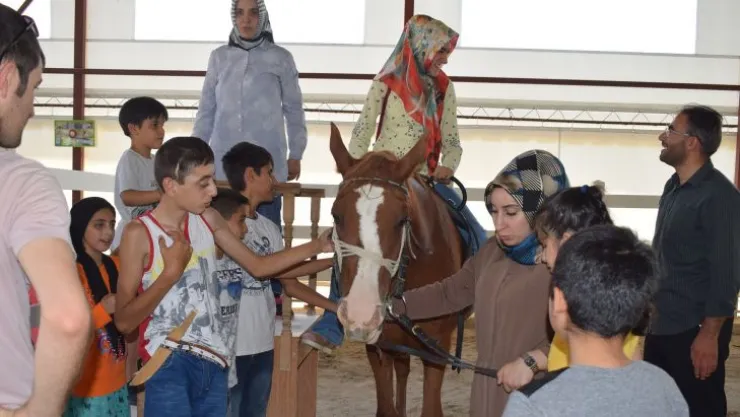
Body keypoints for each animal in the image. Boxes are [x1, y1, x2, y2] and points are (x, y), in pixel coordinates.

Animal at [329, 122, 467, 417]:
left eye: (402, 219)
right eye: (336, 215)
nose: (361, 313)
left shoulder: (436, 351)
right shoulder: (379, 348)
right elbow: (386, 407)